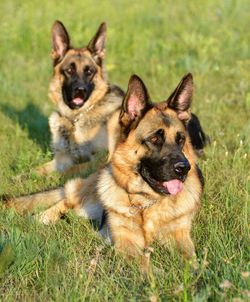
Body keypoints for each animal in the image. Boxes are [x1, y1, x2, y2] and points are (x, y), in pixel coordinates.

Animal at [5, 73, 203, 272]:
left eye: (180, 139)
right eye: (154, 139)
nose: (184, 168)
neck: (146, 202)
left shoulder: (180, 236)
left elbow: (192, 263)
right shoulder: (126, 242)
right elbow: (145, 266)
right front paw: (158, 277)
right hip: (86, 195)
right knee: (66, 199)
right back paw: (41, 219)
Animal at [37, 20, 124, 175]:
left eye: (89, 71)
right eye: (69, 70)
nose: (80, 90)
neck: (75, 117)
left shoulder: (100, 158)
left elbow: (71, 169)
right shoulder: (62, 159)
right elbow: (37, 169)